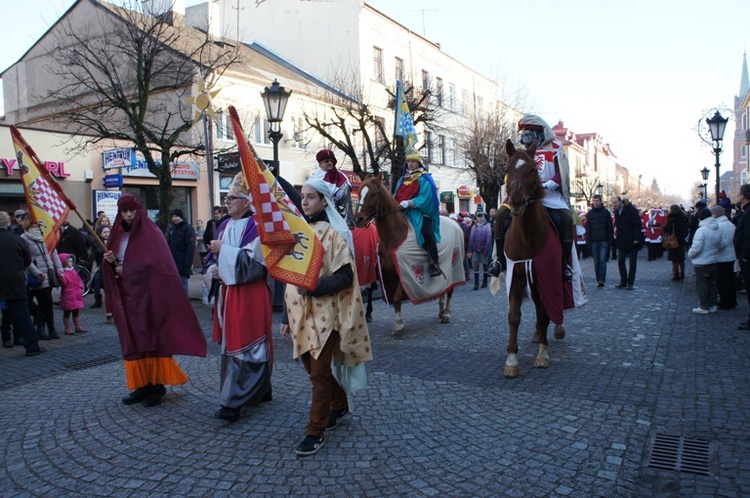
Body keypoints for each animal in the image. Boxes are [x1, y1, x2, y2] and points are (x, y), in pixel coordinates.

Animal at [356, 176, 468, 338]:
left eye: (373, 194)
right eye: (359, 192)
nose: (358, 219)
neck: (394, 237)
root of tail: (455, 224)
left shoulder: (405, 273)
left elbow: (397, 298)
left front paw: (398, 326)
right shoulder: (389, 274)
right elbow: (395, 300)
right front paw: (399, 323)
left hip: (455, 266)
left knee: (451, 291)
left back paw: (446, 313)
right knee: (443, 288)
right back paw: (441, 311)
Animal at [502, 140, 568, 378]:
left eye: (532, 169)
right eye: (507, 168)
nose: (517, 202)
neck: (527, 237)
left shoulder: (544, 277)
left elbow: (544, 313)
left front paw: (542, 355)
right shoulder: (516, 275)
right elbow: (514, 316)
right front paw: (511, 360)